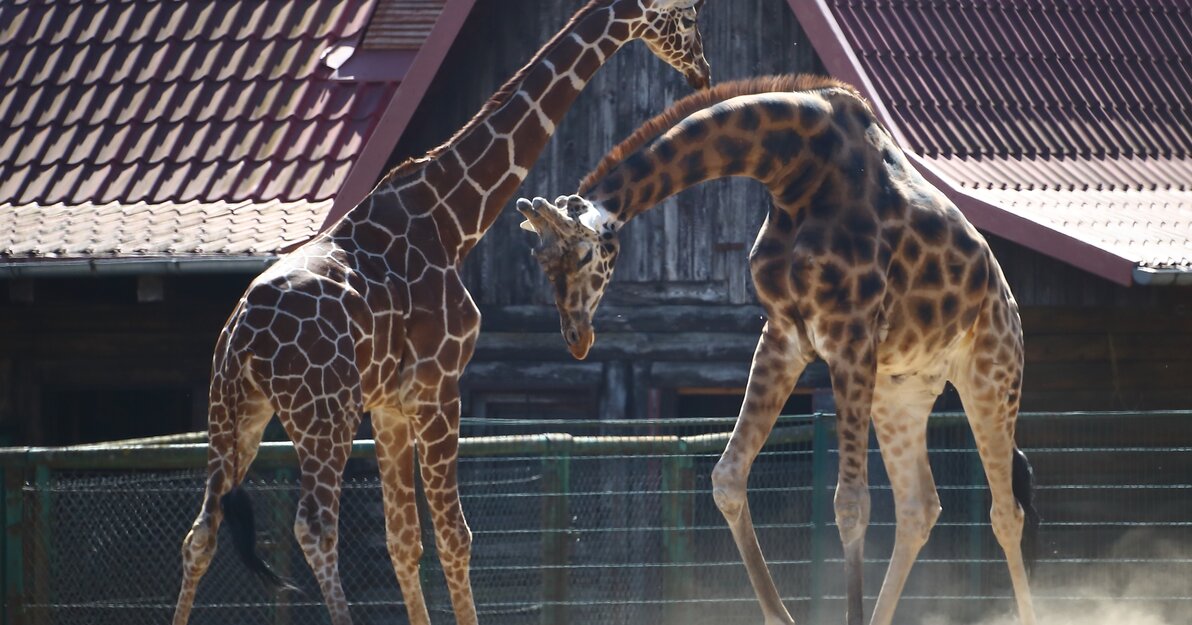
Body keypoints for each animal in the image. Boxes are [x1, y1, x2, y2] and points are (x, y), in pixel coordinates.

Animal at [172, 2, 710, 620]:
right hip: (322, 416)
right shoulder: (438, 385)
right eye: (687, 16)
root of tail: (241, 339)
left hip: (235, 414)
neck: (452, 217)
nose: (702, 72)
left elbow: (403, 540)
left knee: (202, 532)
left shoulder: (389, 404)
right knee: (313, 527)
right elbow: (456, 536)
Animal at [517, 75, 1039, 625]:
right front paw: (779, 615)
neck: (796, 177)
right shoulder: (784, 335)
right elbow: (727, 477)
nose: (577, 338)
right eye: (540, 262)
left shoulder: (849, 335)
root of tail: (1006, 298)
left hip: (992, 377)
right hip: (901, 393)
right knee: (920, 507)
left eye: (582, 255)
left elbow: (851, 503)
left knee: (1005, 511)